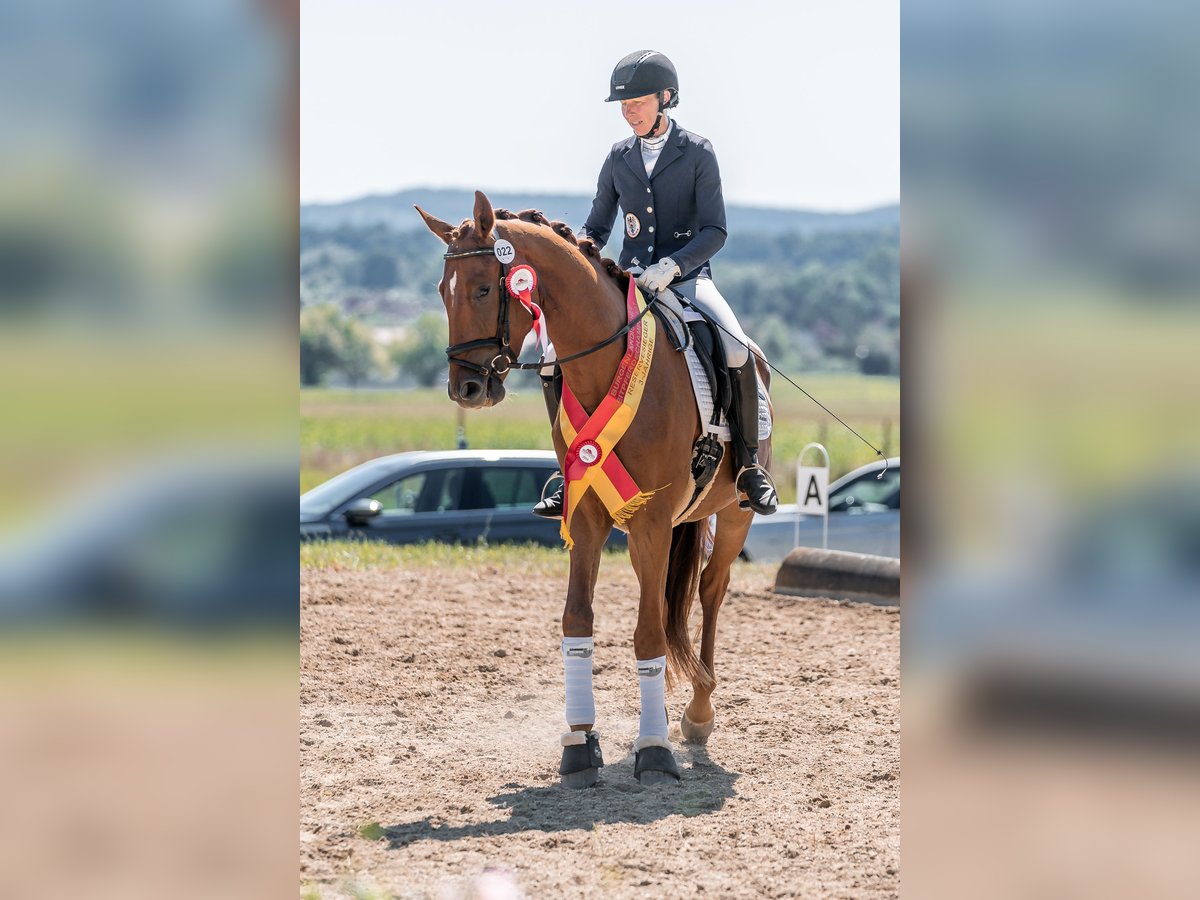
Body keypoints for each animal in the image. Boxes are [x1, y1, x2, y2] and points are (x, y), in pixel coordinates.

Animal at [412, 192, 772, 787]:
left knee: (710, 590)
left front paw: (654, 750)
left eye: (484, 288)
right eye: (444, 291)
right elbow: (578, 621)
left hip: (733, 513)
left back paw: (697, 713)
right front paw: (581, 743)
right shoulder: (588, 518)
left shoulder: (651, 521)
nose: (465, 388)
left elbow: (648, 632)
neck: (605, 364)